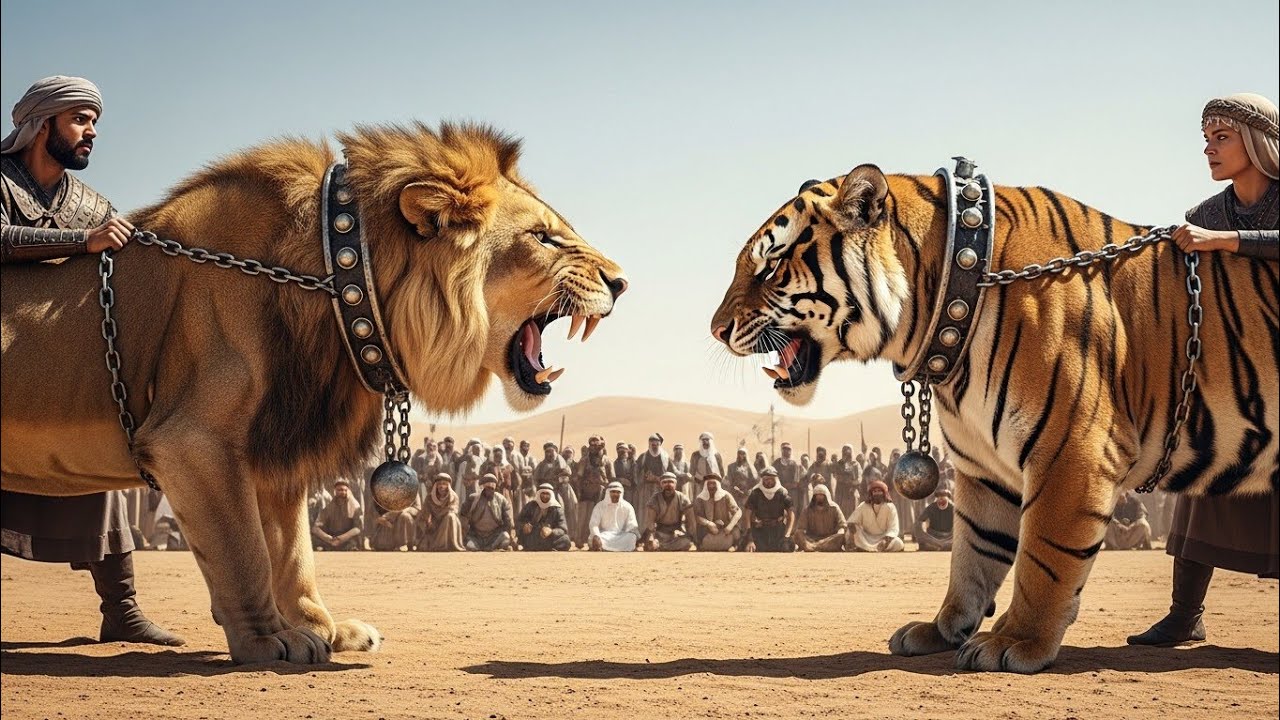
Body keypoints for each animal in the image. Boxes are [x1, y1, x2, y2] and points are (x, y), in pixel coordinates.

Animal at [0, 122, 627, 664]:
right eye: (542, 237)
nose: (621, 282)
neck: (336, 280)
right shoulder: (192, 440)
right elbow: (244, 551)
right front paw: (266, 641)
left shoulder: (275, 444)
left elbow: (293, 552)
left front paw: (321, 629)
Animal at [709, 163, 1278, 673]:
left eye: (769, 267)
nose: (716, 329)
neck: (939, 306)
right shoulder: (984, 466)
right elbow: (973, 555)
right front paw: (943, 629)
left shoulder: (1073, 450)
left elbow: (1044, 557)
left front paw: (1016, 642)